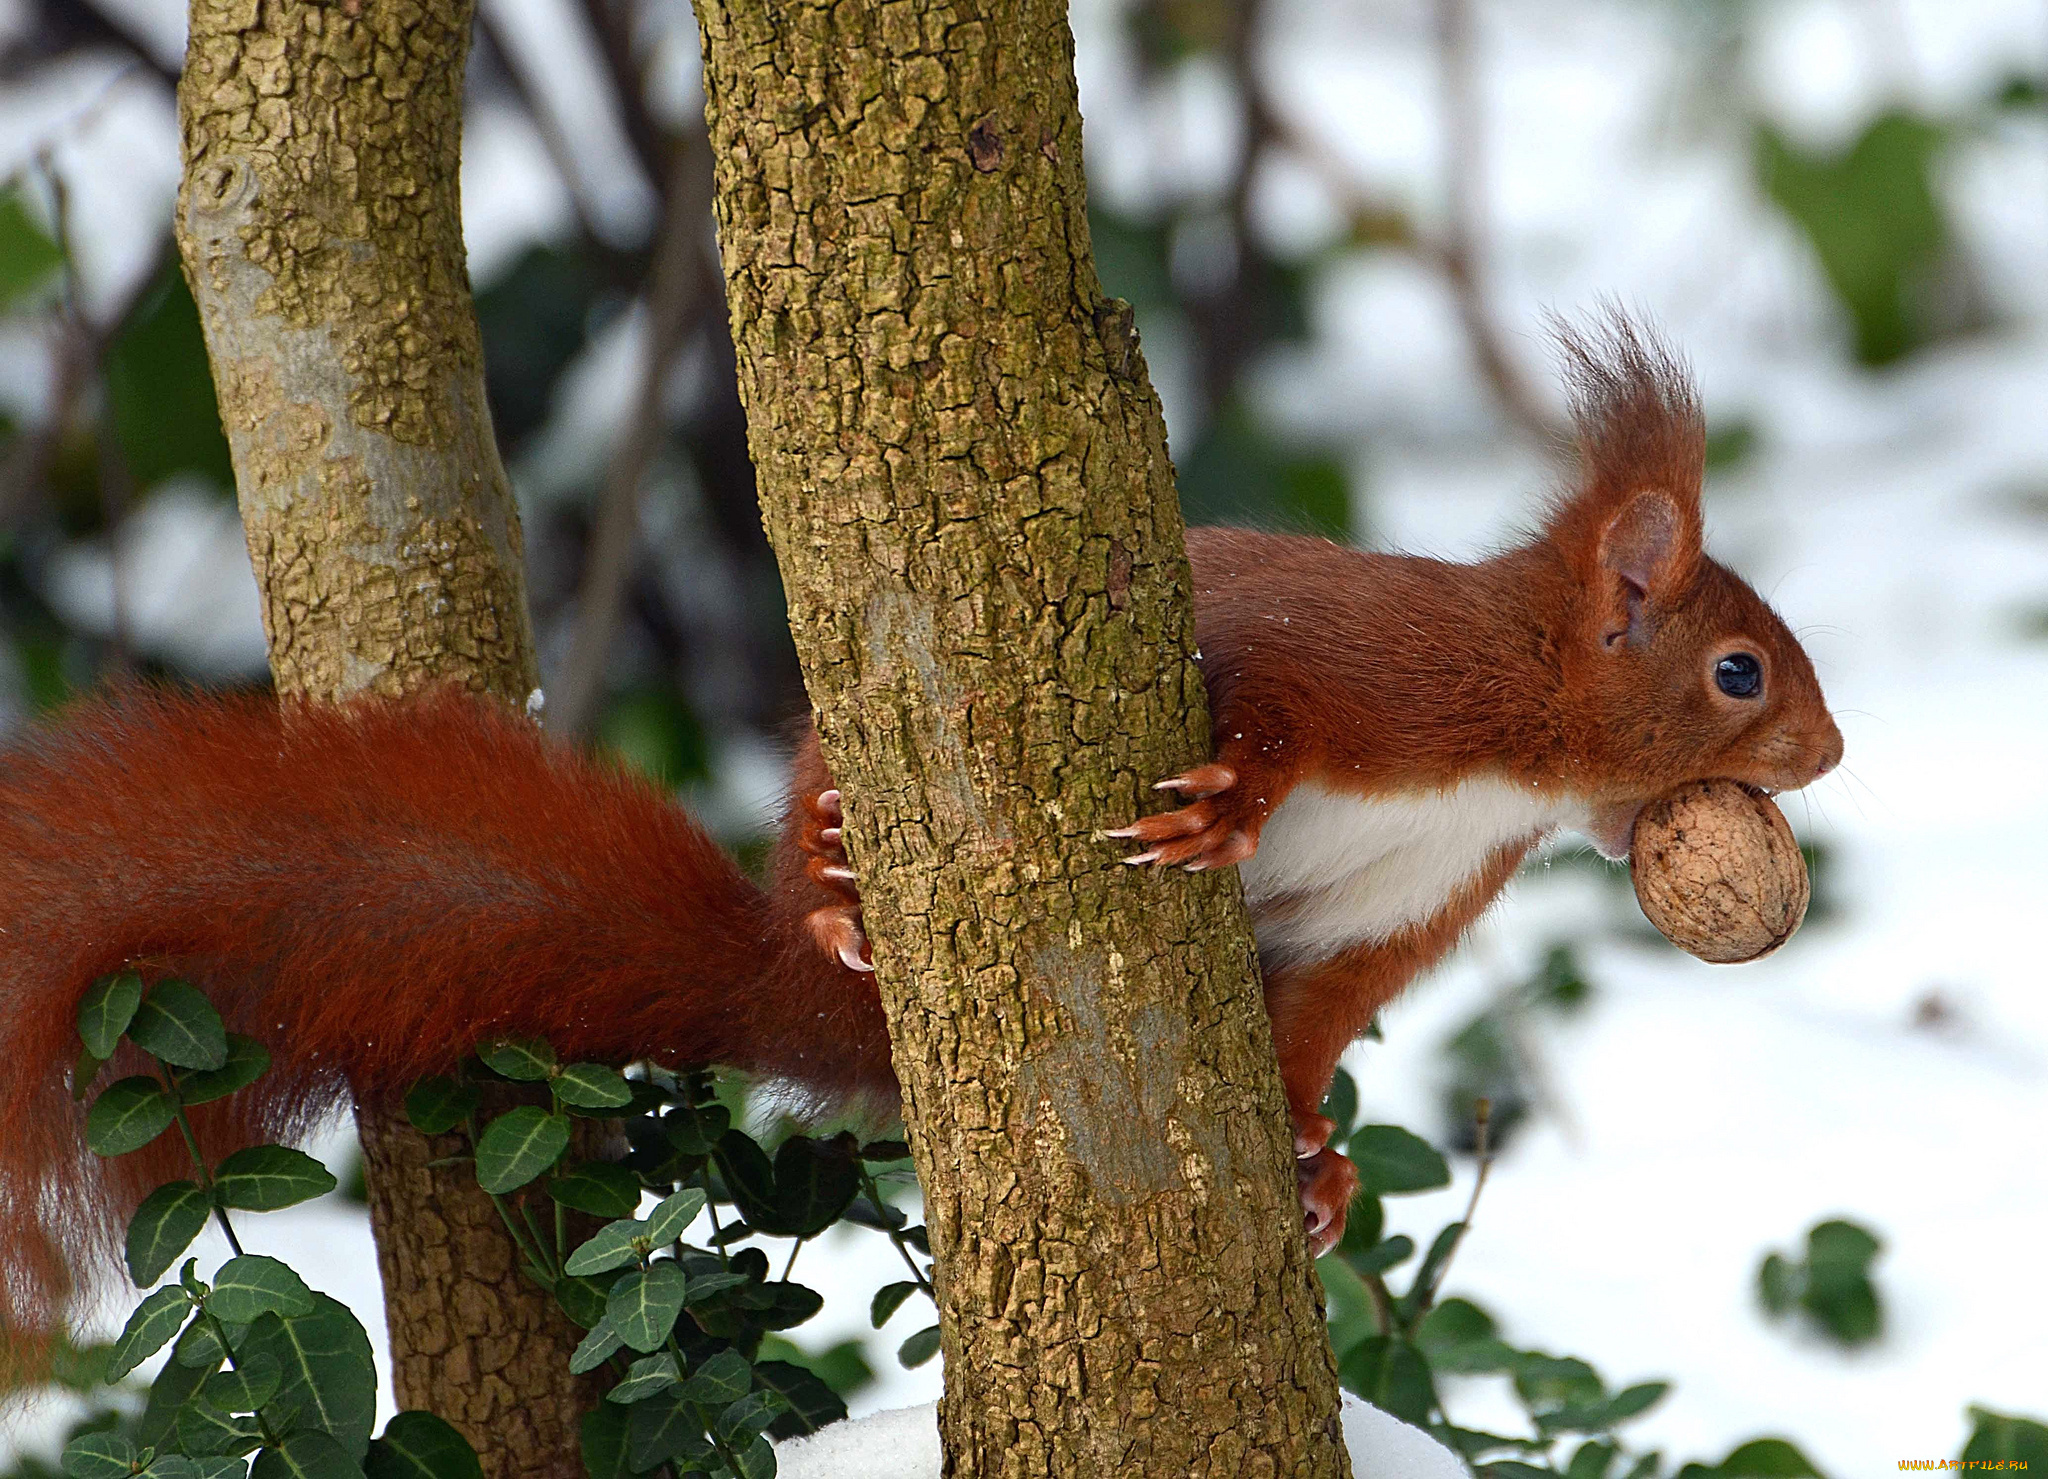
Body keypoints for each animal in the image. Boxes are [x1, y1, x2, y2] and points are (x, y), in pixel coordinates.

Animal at [0, 319, 1843, 1335]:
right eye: (1740, 668)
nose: (1828, 750)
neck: (1514, 761)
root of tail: (795, 993)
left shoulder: (1411, 902)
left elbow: (1314, 1020)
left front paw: (1317, 1161)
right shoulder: (1381, 673)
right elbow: (1261, 693)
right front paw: (1230, 801)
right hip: (840, 768)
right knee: (820, 815)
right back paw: (826, 883)